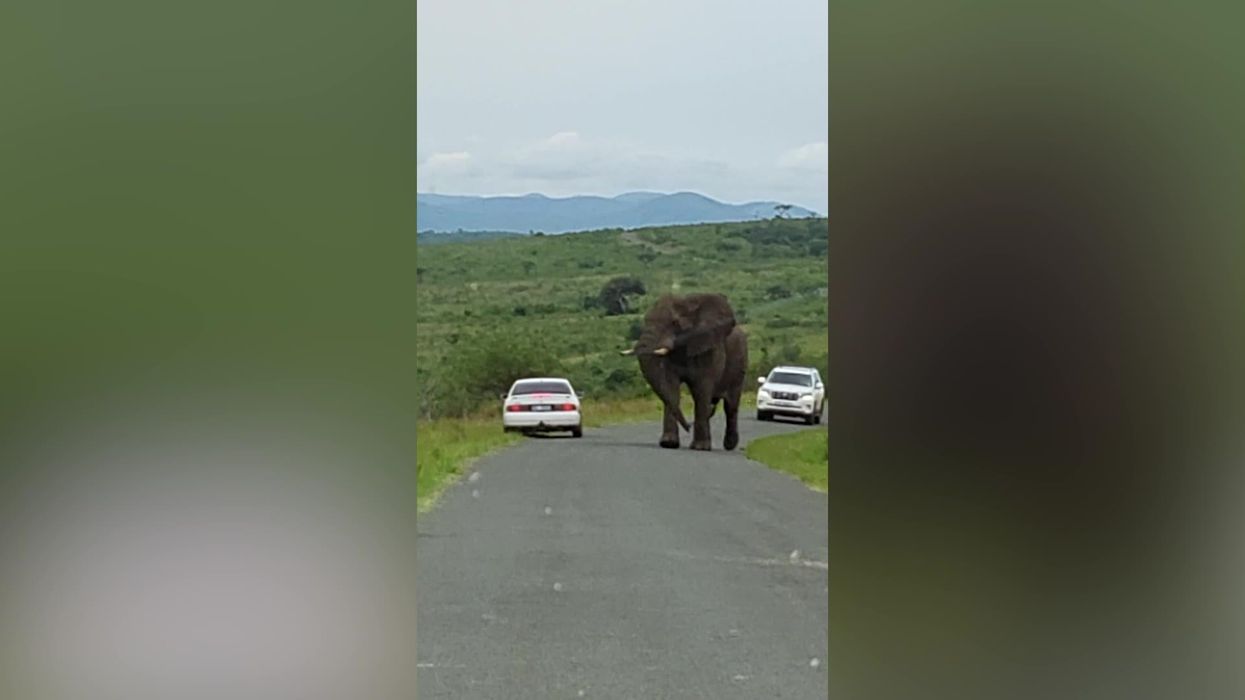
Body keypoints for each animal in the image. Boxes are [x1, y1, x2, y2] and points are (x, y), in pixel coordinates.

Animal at [619, 293, 748, 451]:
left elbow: (701, 390)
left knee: (730, 406)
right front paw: (668, 443)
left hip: (740, 363)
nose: (688, 426)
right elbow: (670, 388)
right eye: (645, 320)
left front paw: (700, 448)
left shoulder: (708, 349)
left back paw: (730, 445)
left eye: (675, 322)